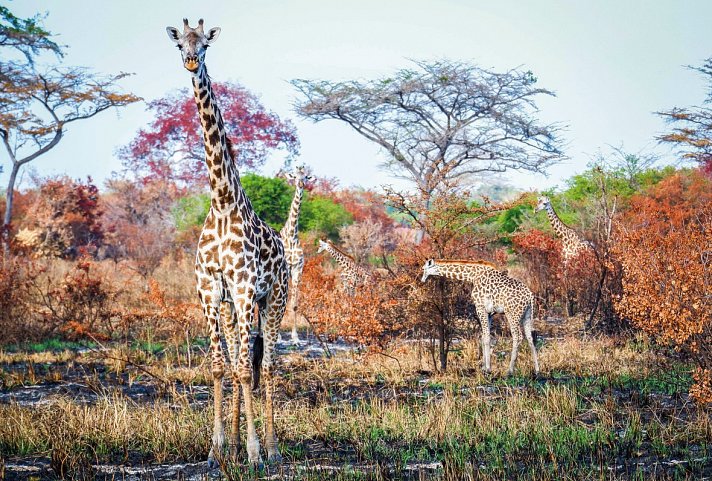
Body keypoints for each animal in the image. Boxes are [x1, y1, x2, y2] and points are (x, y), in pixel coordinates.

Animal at [167, 20, 290, 466]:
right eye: (180, 43)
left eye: (205, 44)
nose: (190, 61)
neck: (221, 202)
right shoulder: (209, 289)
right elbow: (221, 366)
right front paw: (217, 447)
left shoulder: (244, 288)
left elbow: (242, 368)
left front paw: (253, 452)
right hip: (236, 306)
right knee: (242, 361)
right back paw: (237, 442)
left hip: (274, 299)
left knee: (266, 365)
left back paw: (271, 448)